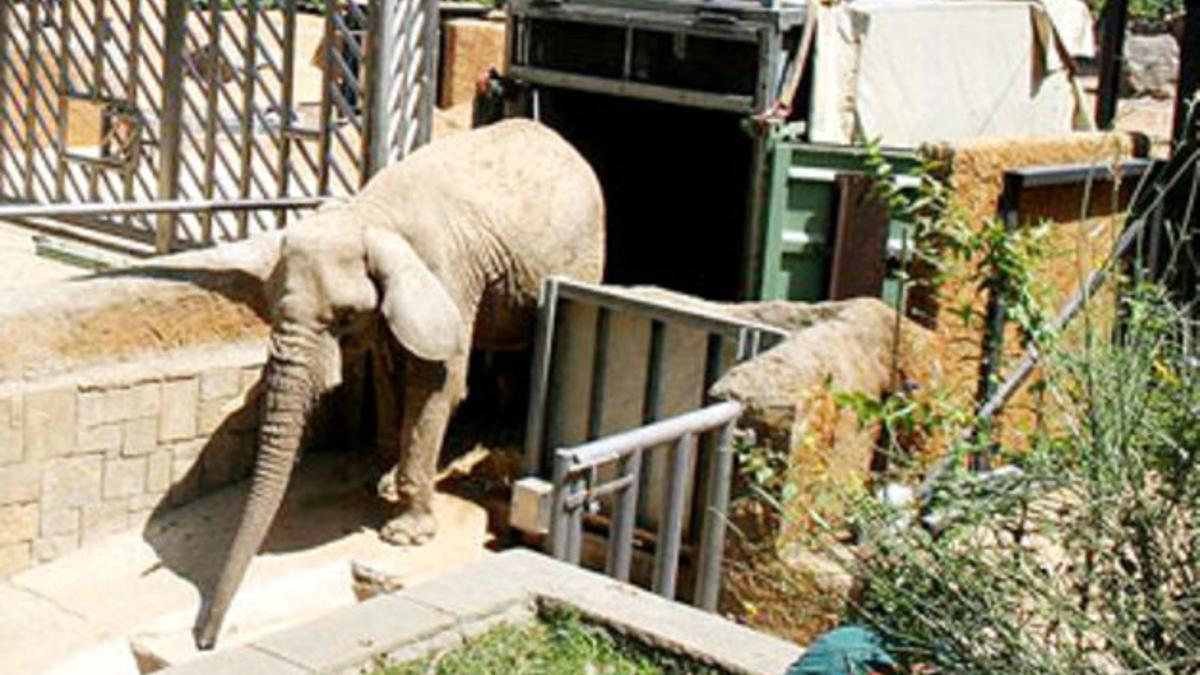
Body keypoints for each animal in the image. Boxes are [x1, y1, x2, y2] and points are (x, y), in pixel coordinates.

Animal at [199, 119, 609, 648]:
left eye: (343, 317)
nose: (205, 640)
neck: (370, 217)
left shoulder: (446, 274)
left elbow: (436, 384)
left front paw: (403, 535)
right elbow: (391, 371)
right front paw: (385, 482)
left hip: (584, 251)